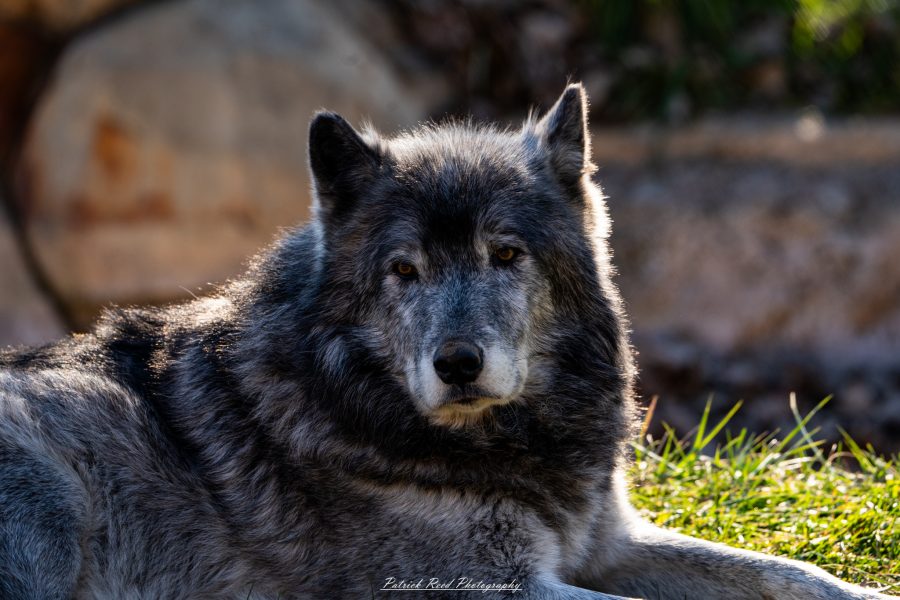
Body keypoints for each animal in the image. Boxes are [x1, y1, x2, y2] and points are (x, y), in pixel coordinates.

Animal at [0, 84, 895, 600]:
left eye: (506, 254)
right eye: (404, 270)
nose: (457, 364)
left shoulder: (605, 544)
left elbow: (797, 578)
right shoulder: (480, 586)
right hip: (52, 503)